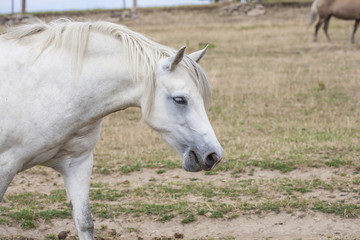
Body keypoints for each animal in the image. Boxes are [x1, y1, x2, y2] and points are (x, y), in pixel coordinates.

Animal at [0, 19, 222, 240]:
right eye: (179, 99)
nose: (214, 155)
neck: (49, 86)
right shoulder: (5, 167)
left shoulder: (77, 163)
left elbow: (85, 222)